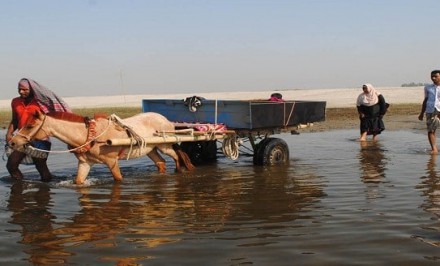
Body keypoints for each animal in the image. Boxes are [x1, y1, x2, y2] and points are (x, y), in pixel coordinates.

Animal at [7, 110, 194, 185]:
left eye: (30, 125)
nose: (12, 142)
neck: (89, 135)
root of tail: (165, 119)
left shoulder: (112, 162)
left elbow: (118, 179)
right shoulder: (85, 164)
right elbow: (79, 182)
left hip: (165, 145)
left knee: (177, 157)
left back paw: (180, 171)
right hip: (151, 149)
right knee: (161, 163)